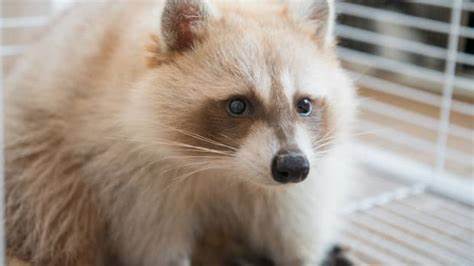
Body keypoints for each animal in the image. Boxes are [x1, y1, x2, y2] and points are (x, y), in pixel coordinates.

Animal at [5, 0, 356, 264]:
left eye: (304, 104)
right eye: (238, 105)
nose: (292, 166)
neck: (228, 168)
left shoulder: (304, 178)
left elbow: (295, 233)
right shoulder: (132, 176)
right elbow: (153, 244)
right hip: (36, 156)